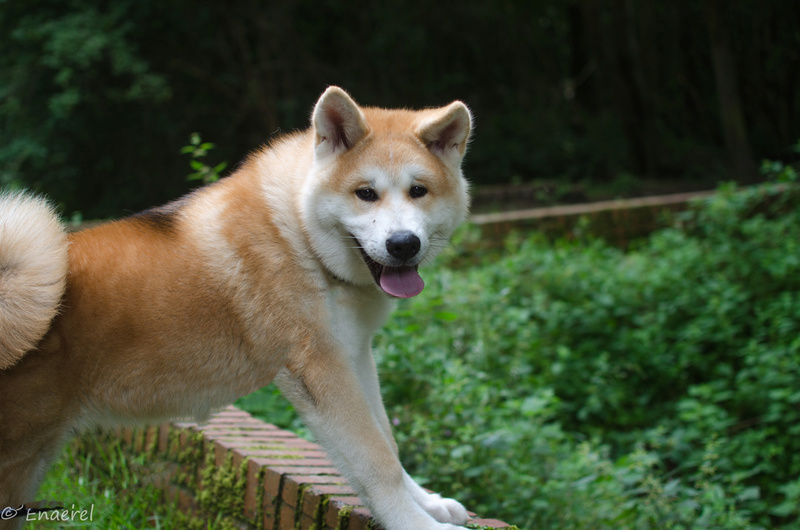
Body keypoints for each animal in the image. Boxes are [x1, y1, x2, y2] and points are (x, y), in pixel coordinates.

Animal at [0, 87, 472, 528]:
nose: (403, 244)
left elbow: (387, 441)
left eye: (418, 191)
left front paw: (428, 503)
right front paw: (418, 524)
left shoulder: (353, 354)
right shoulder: (321, 367)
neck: (297, 234)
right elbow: (377, 460)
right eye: (366, 193)